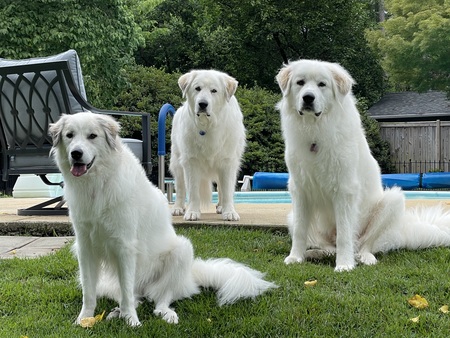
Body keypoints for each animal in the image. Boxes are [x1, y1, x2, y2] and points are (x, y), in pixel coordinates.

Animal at [48, 112, 274, 326]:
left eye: (92, 136)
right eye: (70, 135)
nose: (76, 153)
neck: (96, 185)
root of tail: (190, 276)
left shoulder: (125, 246)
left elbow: (127, 292)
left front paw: (132, 321)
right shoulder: (85, 248)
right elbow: (89, 291)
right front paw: (83, 319)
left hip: (182, 250)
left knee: (159, 300)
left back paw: (165, 314)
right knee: (134, 297)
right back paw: (117, 312)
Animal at [170, 69, 246, 222]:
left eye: (214, 91)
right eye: (197, 88)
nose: (202, 104)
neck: (208, 125)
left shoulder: (228, 162)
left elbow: (227, 191)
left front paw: (229, 212)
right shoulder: (191, 162)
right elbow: (193, 191)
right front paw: (192, 212)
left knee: (222, 188)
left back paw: (221, 207)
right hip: (177, 163)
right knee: (180, 188)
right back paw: (178, 208)